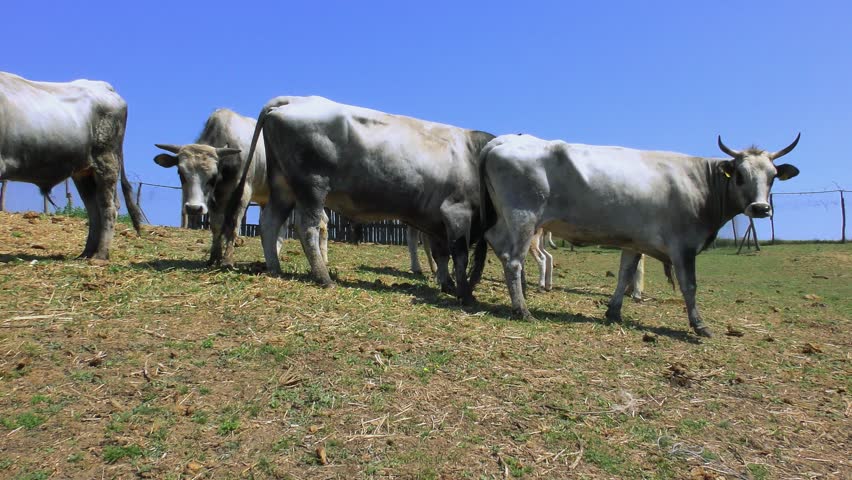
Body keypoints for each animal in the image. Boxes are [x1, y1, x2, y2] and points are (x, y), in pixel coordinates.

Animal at [0, 71, 144, 259]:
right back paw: (87, 253)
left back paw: (100, 255)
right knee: (94, 209)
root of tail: (104, 86)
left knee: (108, 208)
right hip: (84, 171)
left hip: (106, 161)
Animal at [154, 109, 327, 267]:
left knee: (322, 221)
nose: (193, 208)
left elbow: (233, 224)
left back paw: (323, 258)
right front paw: (214, 257)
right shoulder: (214, 199)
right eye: (180, 173)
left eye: (212, 176)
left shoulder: (243, 194)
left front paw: (228, 259)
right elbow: (217, 225)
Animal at [223, 96, 494, 302]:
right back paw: (324, 277)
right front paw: (465, 294)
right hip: (312, 185)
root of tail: (295, 99)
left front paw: (448, 285)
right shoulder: (456, 211)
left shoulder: (436, 220)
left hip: (283, 186)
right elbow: (459, 254)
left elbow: (442, 255)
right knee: (307, 227)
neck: (474, 155)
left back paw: (275, 268)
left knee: (269, 222)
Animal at [480, 133, 800, 337]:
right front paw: (699, 325)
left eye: (772, 176)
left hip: (507, 220)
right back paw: (522, 309)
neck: (700, 183)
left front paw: (614, 312)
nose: (760, 208)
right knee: (514, 260)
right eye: (741, 176)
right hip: (524, 218)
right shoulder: (683, 246)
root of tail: (503, 139)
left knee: (496, 243)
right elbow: (690, 285)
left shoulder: (634, 242)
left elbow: (625, 275)